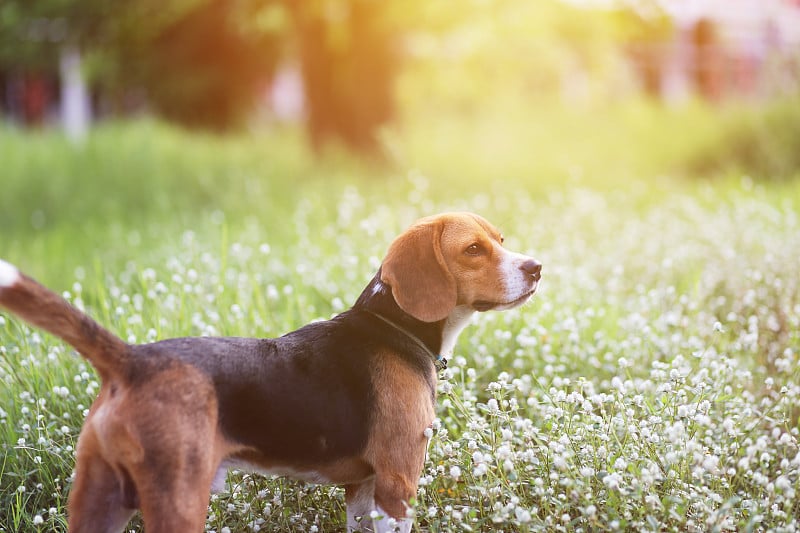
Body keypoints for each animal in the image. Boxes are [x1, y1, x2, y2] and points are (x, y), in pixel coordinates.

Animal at [0, 212, 540, 532]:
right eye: (473, 250)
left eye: (501, 240)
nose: (536, 267)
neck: (392, 326)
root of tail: (132, 359)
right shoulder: (397, 483)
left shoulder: (362, 489)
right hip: (177, 499)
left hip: (99, 499)